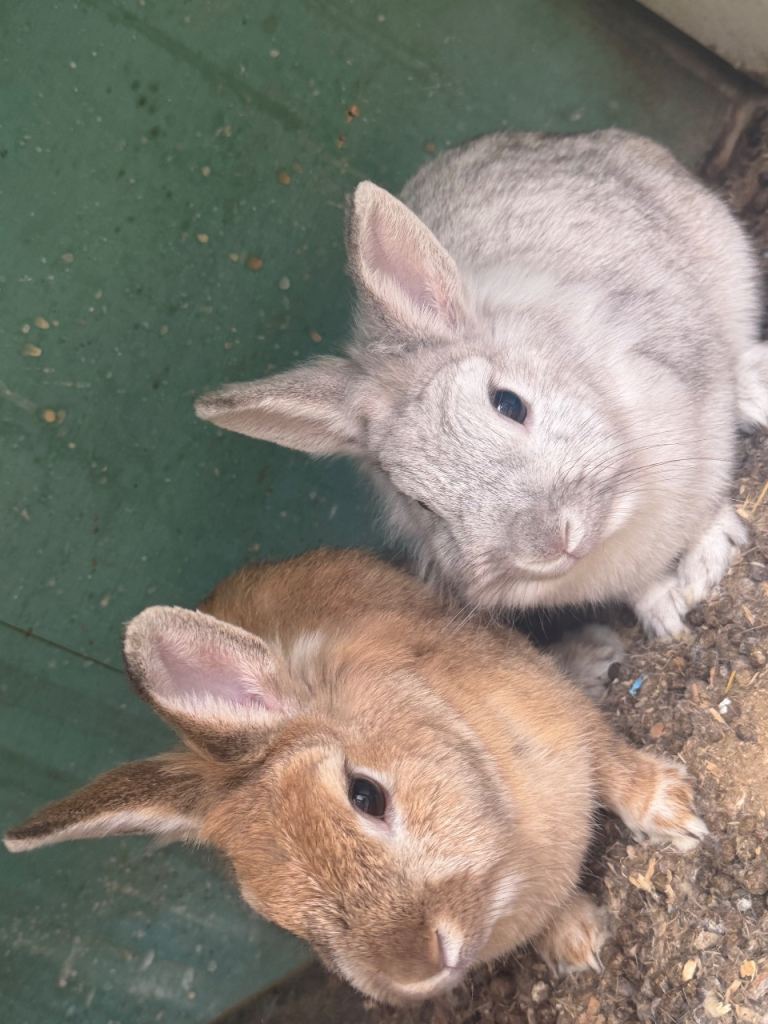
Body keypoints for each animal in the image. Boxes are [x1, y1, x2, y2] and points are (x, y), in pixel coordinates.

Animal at [5, 549, 707, 1005]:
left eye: (365, 794)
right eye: (271, 915)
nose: (422, 965)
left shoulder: (560, 717)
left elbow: (609, 762)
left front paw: (676, 815)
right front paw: (575, 944)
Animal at [195, 129, 768, 639]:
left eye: (509, 404)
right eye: (419, 505)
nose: (552, 544)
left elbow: (705, 504)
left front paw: (709, 558)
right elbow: (641, 583)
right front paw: (665, 617)